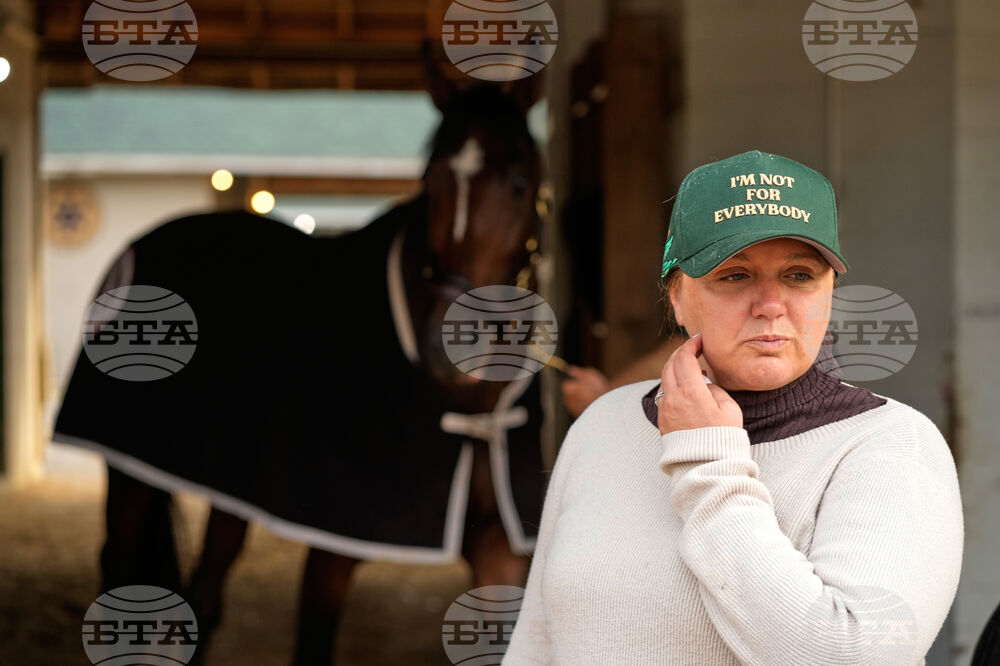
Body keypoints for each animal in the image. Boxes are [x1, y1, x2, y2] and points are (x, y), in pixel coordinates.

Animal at [55, 59, 549, 665]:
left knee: (203, 596)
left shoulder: (501, 554)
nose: (449, 346)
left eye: (520, 182)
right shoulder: (331, 553)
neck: (468, 409)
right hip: (131, 475)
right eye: (430, 182)